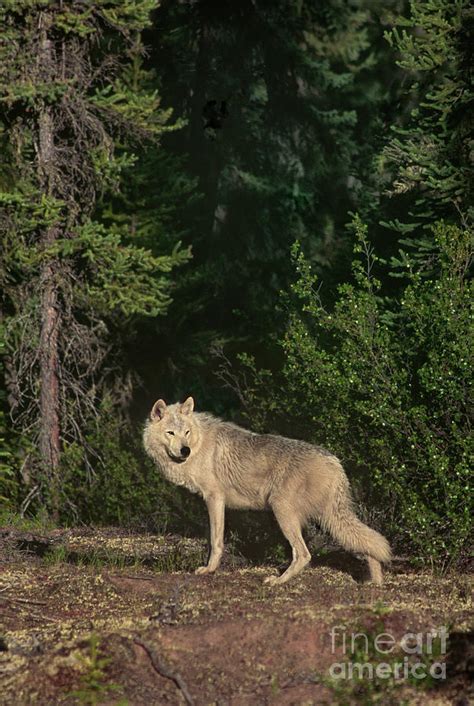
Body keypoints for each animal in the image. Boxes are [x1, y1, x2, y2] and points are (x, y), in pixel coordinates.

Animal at [143, 396, 390, 584]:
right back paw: (375, 582)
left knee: (304, 554)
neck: (199, 444)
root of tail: (335, 462)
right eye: (171, 433)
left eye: (185, 432)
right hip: (329, 517)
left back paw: (278, 581)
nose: (185, 450)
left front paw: (209, 570)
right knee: (368, 541)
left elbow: (215, 541)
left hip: (283, 511)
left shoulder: (214, 498)